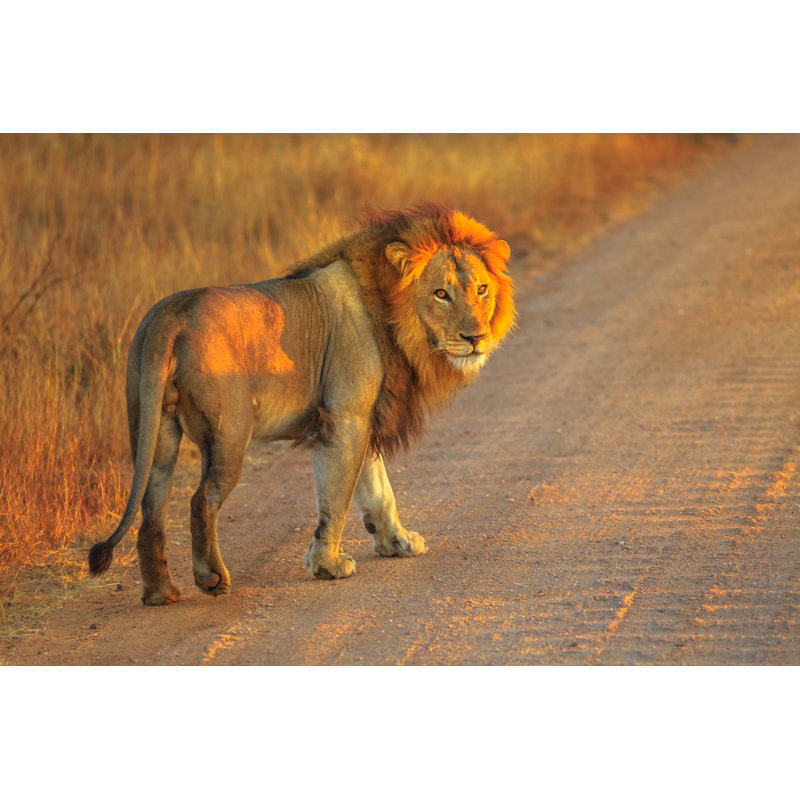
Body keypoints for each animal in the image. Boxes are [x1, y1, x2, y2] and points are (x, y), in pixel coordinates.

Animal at [88, 204, 514, 605]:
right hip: (229, 435)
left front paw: (398, 542)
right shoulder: (345, 417)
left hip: (155, 430)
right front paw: (328, 565)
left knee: (151, 509)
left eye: (481, 290)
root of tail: (170, 316)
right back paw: (211, 578)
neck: (393, 313)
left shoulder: (364, 416)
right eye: (441, 294)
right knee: (200, 500)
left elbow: (377, 489)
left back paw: (160, 592)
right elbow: (337, 496)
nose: (476, 337)